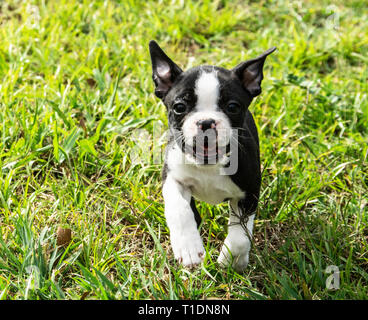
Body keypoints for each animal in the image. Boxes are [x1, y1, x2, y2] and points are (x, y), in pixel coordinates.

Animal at [148, 38, 274, 272]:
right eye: (179, 107)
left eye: (232, 107)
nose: (206, 122)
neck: (208, 166)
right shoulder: (172, 177)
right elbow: (179, 209)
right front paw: (188, 248)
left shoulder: (249, 192)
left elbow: (241, 234)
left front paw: (232, 259)